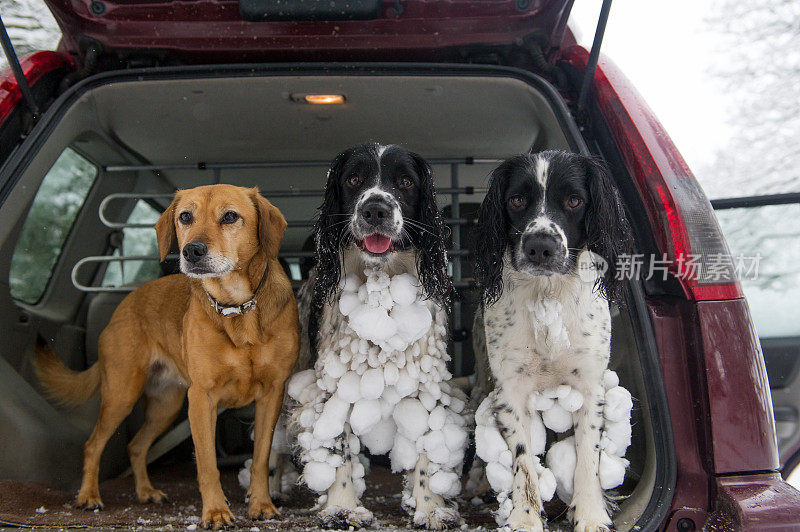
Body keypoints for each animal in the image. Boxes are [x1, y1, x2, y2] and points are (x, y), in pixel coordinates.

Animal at [34, 186, 300, 528]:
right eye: (185, 216)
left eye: (230, 216)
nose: (192, 251)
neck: (236, 307)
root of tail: (125, 303)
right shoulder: (201, 398)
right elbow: (207, 464)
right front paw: (216, 511)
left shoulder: (271, 394)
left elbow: (260, 459)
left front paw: (262, 504)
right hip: (123, 393)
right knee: (93, 445)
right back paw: (89, 496)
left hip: (166, 406)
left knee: (136, 446)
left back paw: (146, 492)